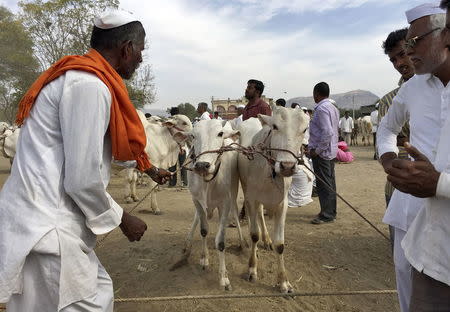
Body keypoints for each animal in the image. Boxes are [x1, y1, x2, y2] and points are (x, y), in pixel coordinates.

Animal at [178, 119, 244, 290]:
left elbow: (220, 242)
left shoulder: (225, 204)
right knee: (197, 219)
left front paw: (224, 277)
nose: (202, 165)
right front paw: (204, 258)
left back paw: (242, 242)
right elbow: (203, 230)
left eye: (220, 133)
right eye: (193, 135)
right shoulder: (196, 200)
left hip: (234, 194)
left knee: (236, 215)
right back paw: (187, 243)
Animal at [239, 106, 310, 294]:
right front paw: (252, 269)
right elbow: (254, 234)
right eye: (275, 127)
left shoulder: (281, 204)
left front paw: (283, 282)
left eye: (304, 129)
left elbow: (280, 244)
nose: (287, 167)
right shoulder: (252, 198)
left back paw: (267, 239)